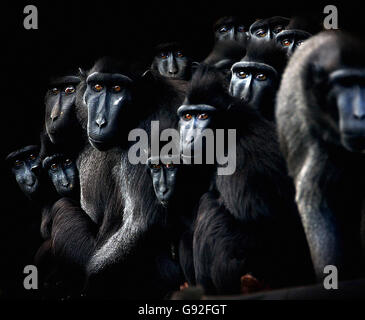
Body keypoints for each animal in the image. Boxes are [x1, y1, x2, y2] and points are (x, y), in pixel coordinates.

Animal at [176, 65, 312, 296]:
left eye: (203, 115)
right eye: (187, 116)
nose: (188, 137)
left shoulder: (238, 155)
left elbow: (259, 213)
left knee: (210, 206)